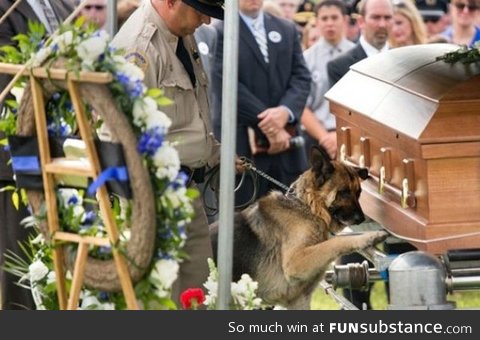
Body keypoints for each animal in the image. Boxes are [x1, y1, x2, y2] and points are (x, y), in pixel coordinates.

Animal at [209, 145, 386, 310]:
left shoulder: (299, 299)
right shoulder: (296, 262)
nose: (362, 218)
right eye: (343, 192)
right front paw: (370, 236)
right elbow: (335, 242)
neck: (307, 208)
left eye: (358, 192)